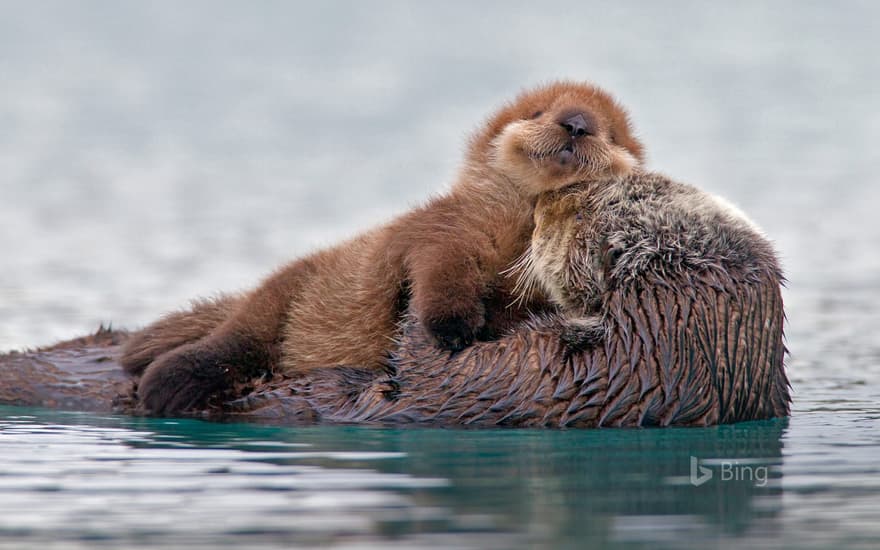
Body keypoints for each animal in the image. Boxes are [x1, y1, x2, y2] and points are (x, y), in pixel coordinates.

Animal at [120, 82, 648, 416]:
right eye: (537, 113)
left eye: (610, 133)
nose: (576, 123)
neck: (519, 222)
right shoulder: (445, 228)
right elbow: (439, 268)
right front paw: (453, 326)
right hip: (276, 300)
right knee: (233, 342)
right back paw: (167, 381)